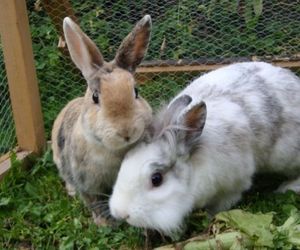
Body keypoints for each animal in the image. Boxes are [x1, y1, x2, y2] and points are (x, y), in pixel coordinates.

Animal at [51, 15, 152, 225]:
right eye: (95, 97)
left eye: (136, 92)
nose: (126, 131)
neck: (114, 151)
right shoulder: (87, 183)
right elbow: (94, 201)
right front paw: (104, 223)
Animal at [109, 62, 300, 234]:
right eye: (124, 162)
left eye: (156, 179)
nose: (121, 213)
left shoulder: (233, 186)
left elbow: (222, 204)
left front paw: (209, 217)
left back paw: (286, 187)